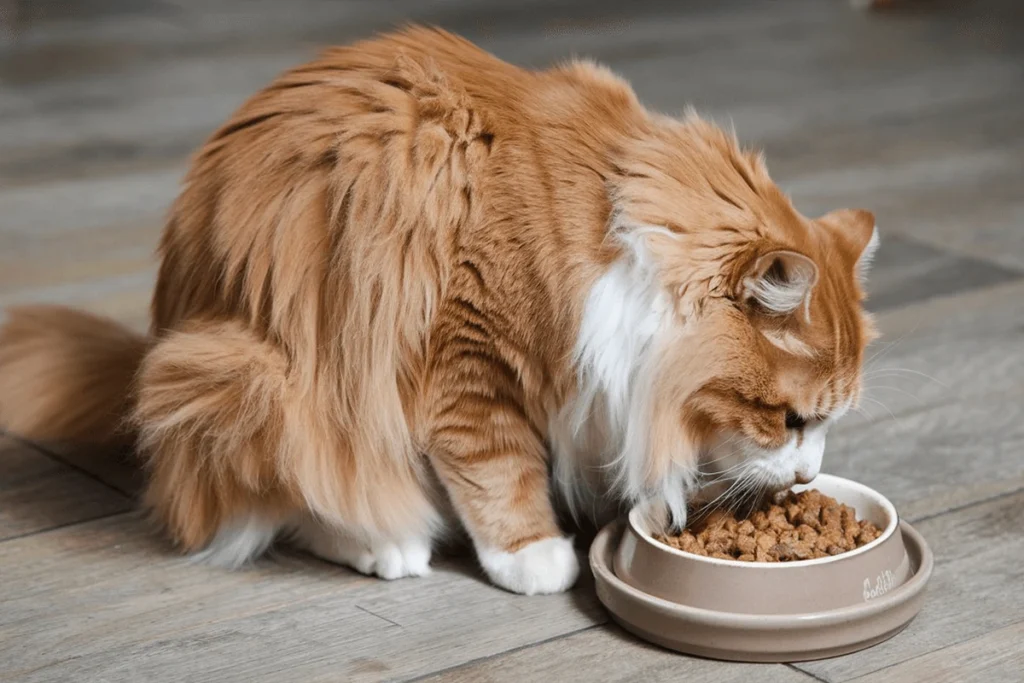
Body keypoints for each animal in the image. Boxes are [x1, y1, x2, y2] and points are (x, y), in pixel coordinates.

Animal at [2, 26, 880, 593]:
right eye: (790, 418)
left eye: (822, 425)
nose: (810, 475)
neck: (613, 224)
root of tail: (157, 334)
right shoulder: (465, 359)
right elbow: (495, 468)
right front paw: (534, 555)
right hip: (249, 379)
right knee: (281, 499)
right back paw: (387, 543)